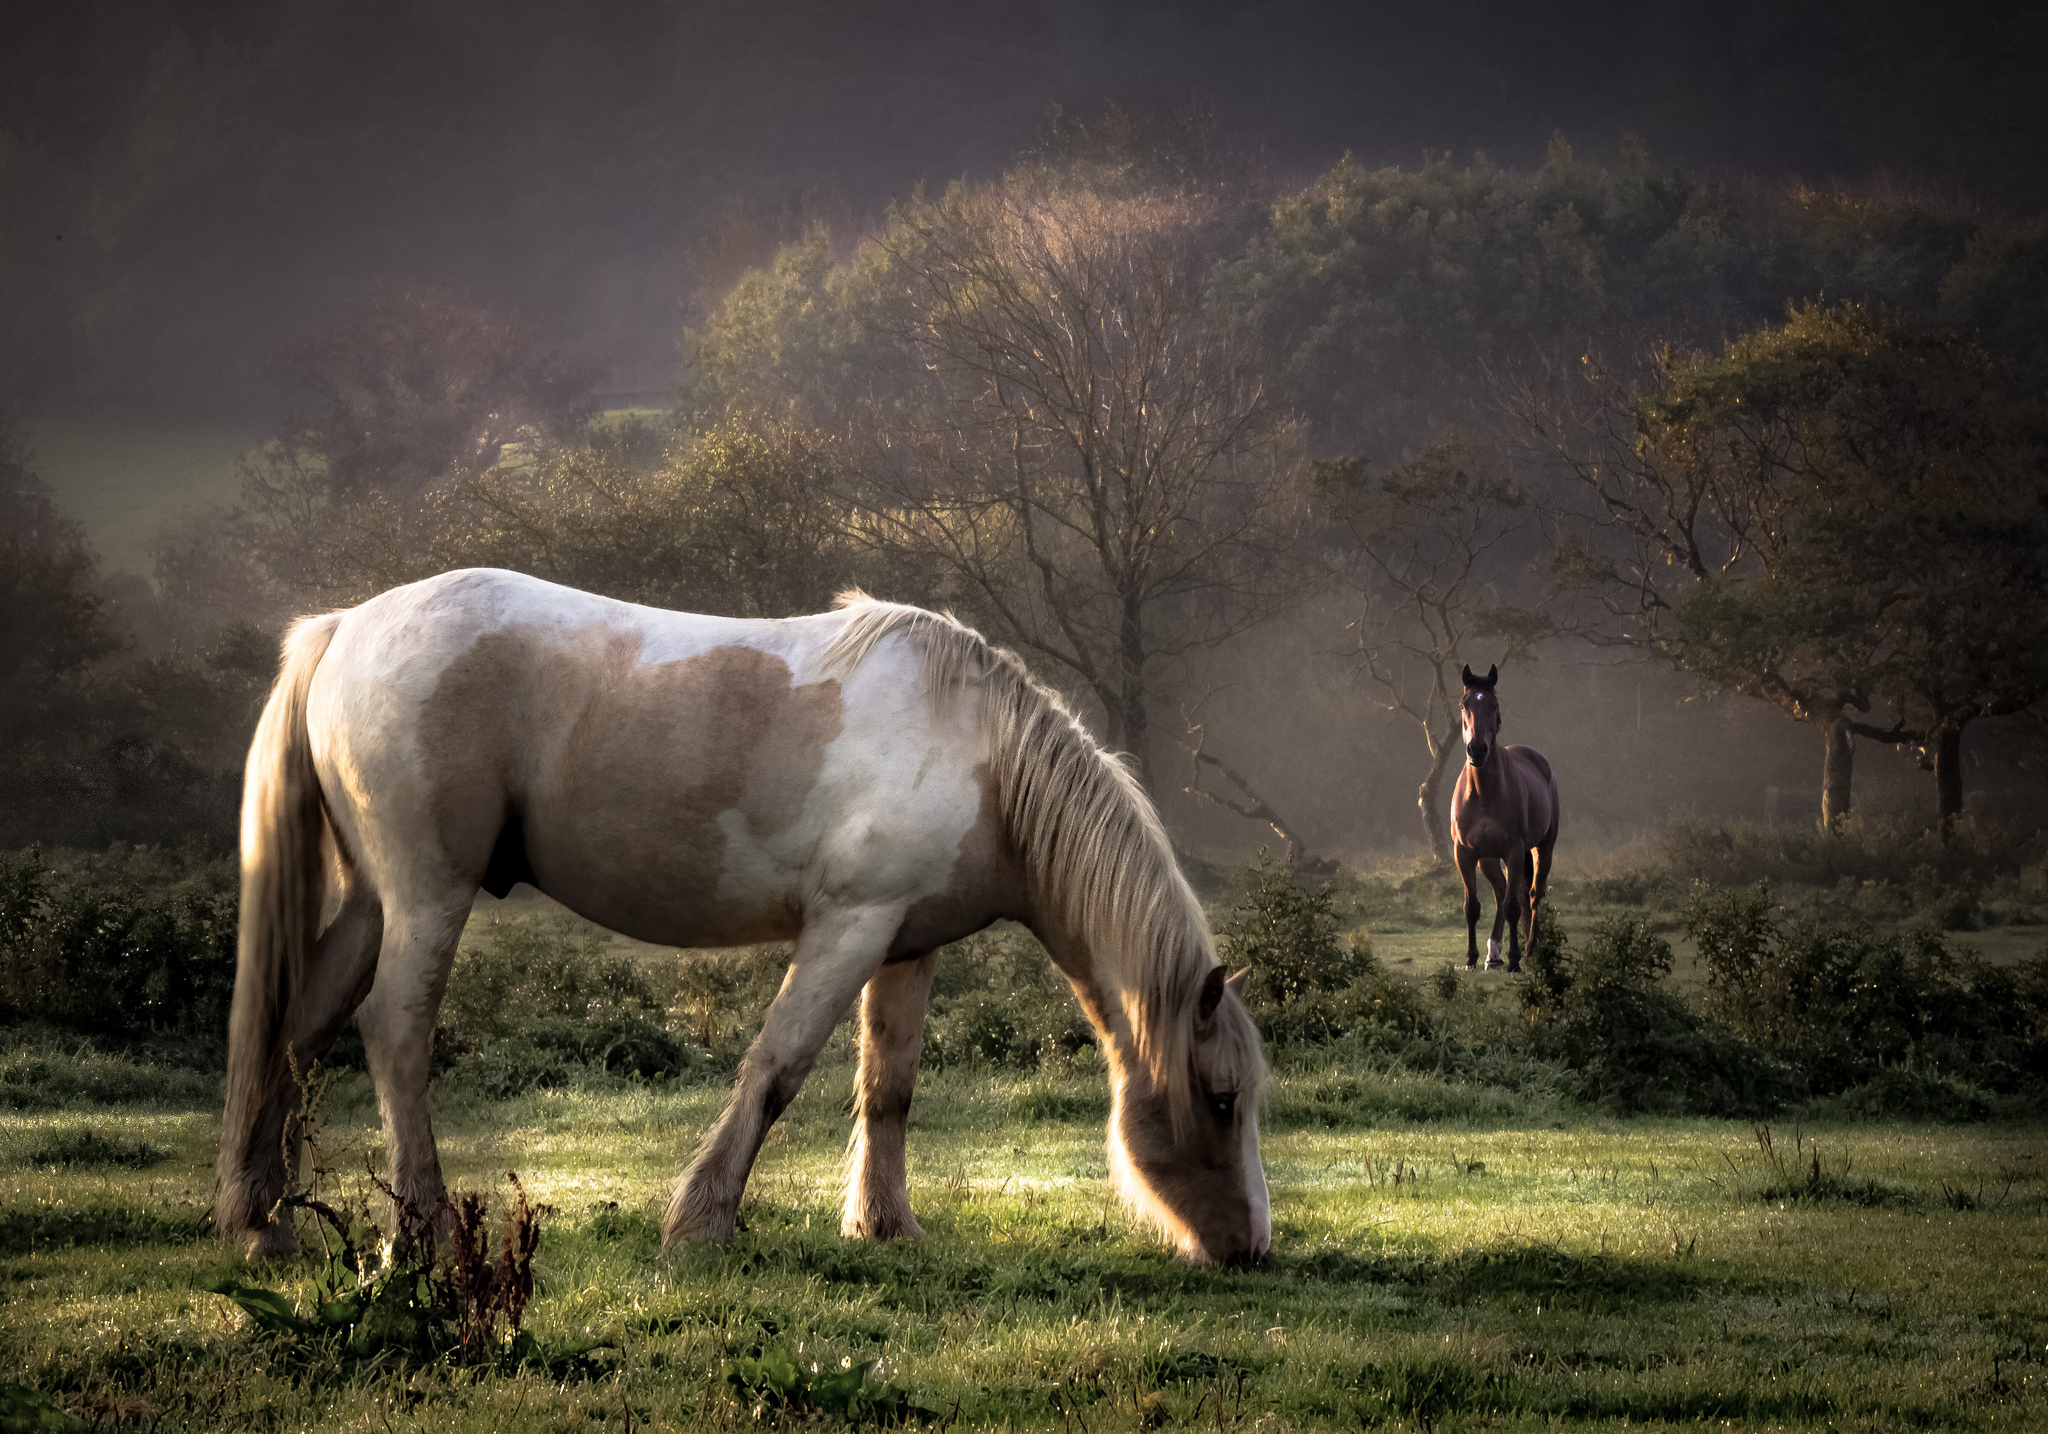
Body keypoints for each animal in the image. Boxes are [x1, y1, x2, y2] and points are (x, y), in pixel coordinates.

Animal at [211, 569, 1261, 1261]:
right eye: (1221, 1099)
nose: (1250, 1247)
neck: (983, 759)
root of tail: (344, 628)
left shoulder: (905, 944)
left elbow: (889, 1088)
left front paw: (886, 1227)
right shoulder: (848, 927)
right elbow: (776, 1068)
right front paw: (701, 1224)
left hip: (372, 903)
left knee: (300, 1031)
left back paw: (263, 1222)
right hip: (428, 894)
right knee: (393, 1034)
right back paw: (420, 1232)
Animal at [1449, 667, 1556, 971]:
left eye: (1494, 706)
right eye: (1463, 705)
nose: (1477, 750)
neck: (1484, 794)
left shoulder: (1514, 851)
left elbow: (1513, 906)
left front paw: (1515, 961)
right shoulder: (1465, 854)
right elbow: (1472, 907)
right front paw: (1471, 958)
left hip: (1542, 849)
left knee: (1532, 895)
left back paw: (1530, 948)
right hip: (1487, 859)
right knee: (1499, 893)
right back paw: (1493, 955)